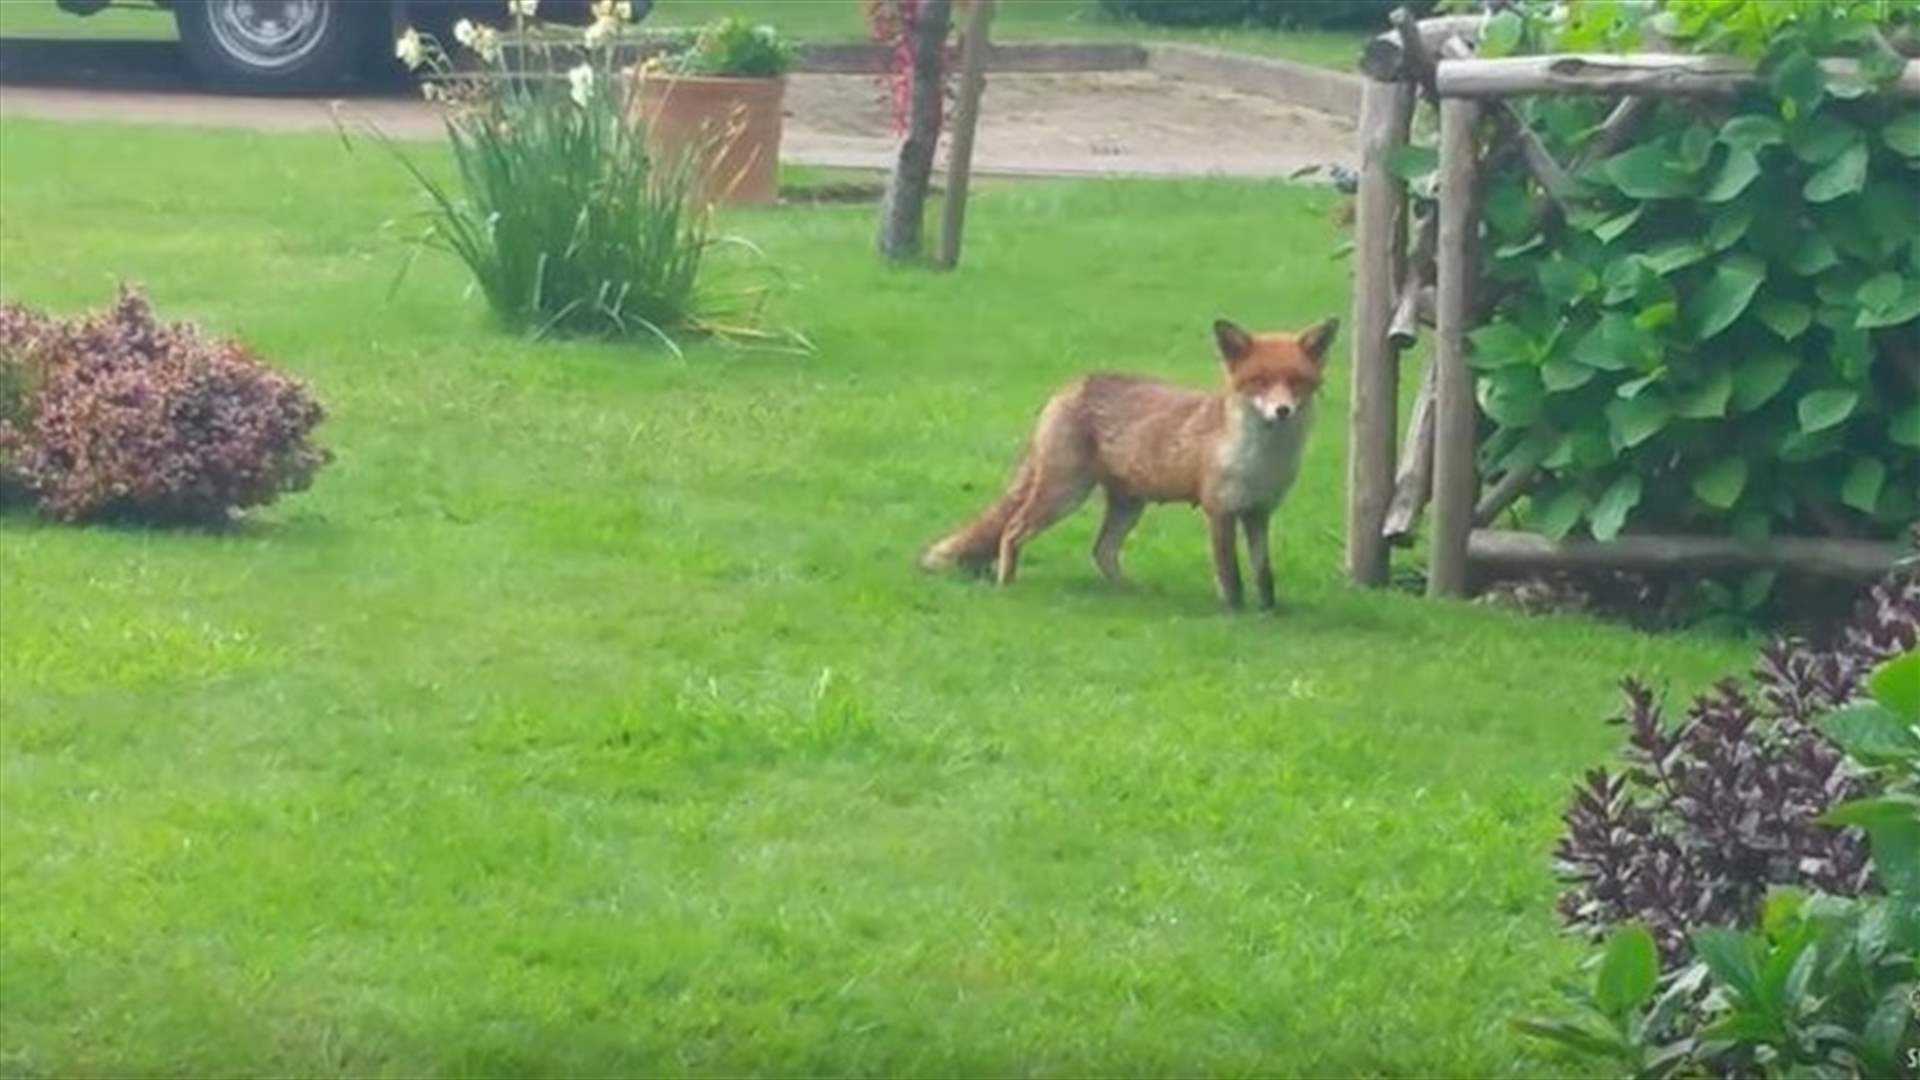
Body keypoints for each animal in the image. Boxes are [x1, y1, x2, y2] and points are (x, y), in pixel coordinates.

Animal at [920, 315, 1339, 611]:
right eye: (1260, 381)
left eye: (1297, 382)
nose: (1282, 411)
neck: (1260, 460)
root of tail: (1068, 386)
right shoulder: (1219, 510)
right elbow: (1230, 572)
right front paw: (1236, 613)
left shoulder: (1258, 512)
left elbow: (1263, 572)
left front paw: (1269, 611)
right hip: (1065, 493)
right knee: (1012, 529)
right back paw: (1006, 583)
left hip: (1128, 504)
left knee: (1101, 551)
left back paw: (1131, 592)